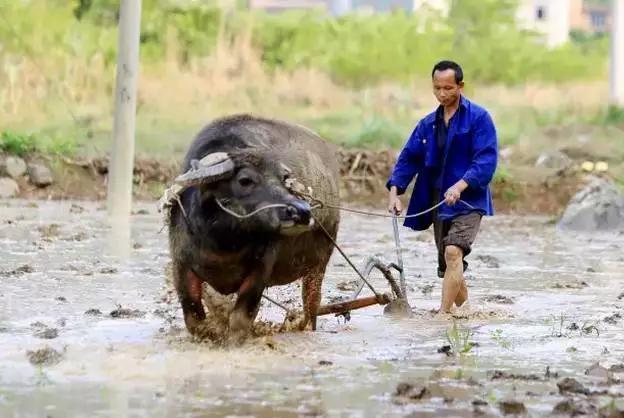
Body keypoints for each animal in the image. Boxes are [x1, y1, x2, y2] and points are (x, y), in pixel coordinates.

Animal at [166, 114, 342, 342]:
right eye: (245, 180)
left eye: (284, 179)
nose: (302, 211)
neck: (223, 241)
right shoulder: (181, 265)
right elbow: (194, 319)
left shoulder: (261, 270)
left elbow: (240, 318)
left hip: (318, 264)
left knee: (311, 304)